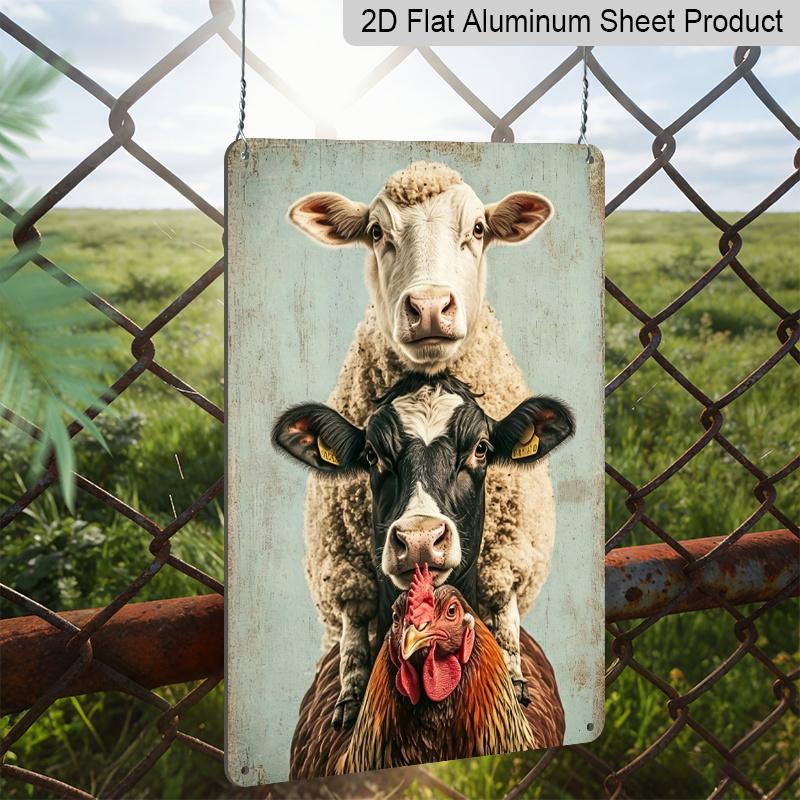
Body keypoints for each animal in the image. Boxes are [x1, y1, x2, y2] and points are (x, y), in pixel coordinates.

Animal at [288, 162, 557, 727]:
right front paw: (350, 699)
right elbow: (355, 636)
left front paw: (514, 681)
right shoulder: (343, 572)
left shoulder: (509, 560)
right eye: (375, 231)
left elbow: (504, 620)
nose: (430, 308)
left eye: (478, 229)